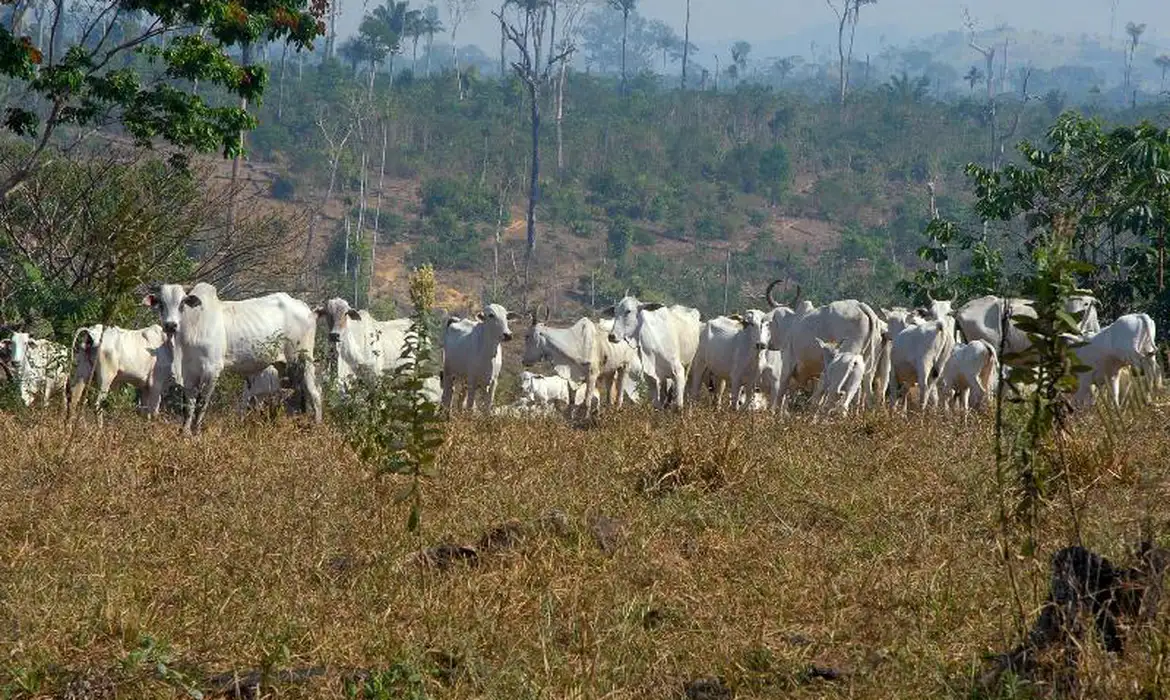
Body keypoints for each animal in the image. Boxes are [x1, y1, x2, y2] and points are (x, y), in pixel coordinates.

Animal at [143, 284, 325, 435]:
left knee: (315, 392)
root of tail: (308, 309)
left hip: (303, 359)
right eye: (161, 304)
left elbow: (202, 404)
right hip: (287, 367)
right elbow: (189, 405)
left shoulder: (212, 371)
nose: (170, 325)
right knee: (301, 391)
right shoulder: (188, 373)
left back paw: (316, 427)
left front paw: (196, 432)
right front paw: (185, 433)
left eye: (182, 303)